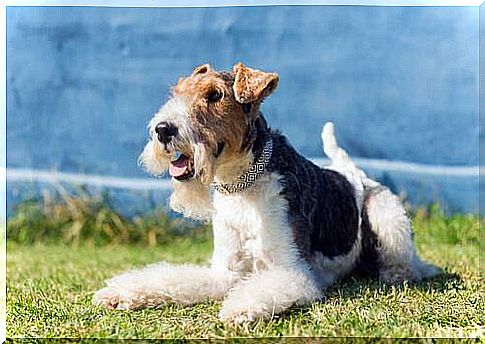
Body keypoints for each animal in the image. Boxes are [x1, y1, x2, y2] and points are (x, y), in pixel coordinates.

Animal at [91, 63, 438, 324]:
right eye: (176, 93)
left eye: (214, 95)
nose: (163, 130)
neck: (241, 185)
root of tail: (353, 174)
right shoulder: (225, 271)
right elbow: (172, 279)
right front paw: (120, 293)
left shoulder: (292, 271)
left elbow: (263, 288)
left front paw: (239, 309)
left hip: (385, 212)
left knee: (407, 259)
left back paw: (398, 273)